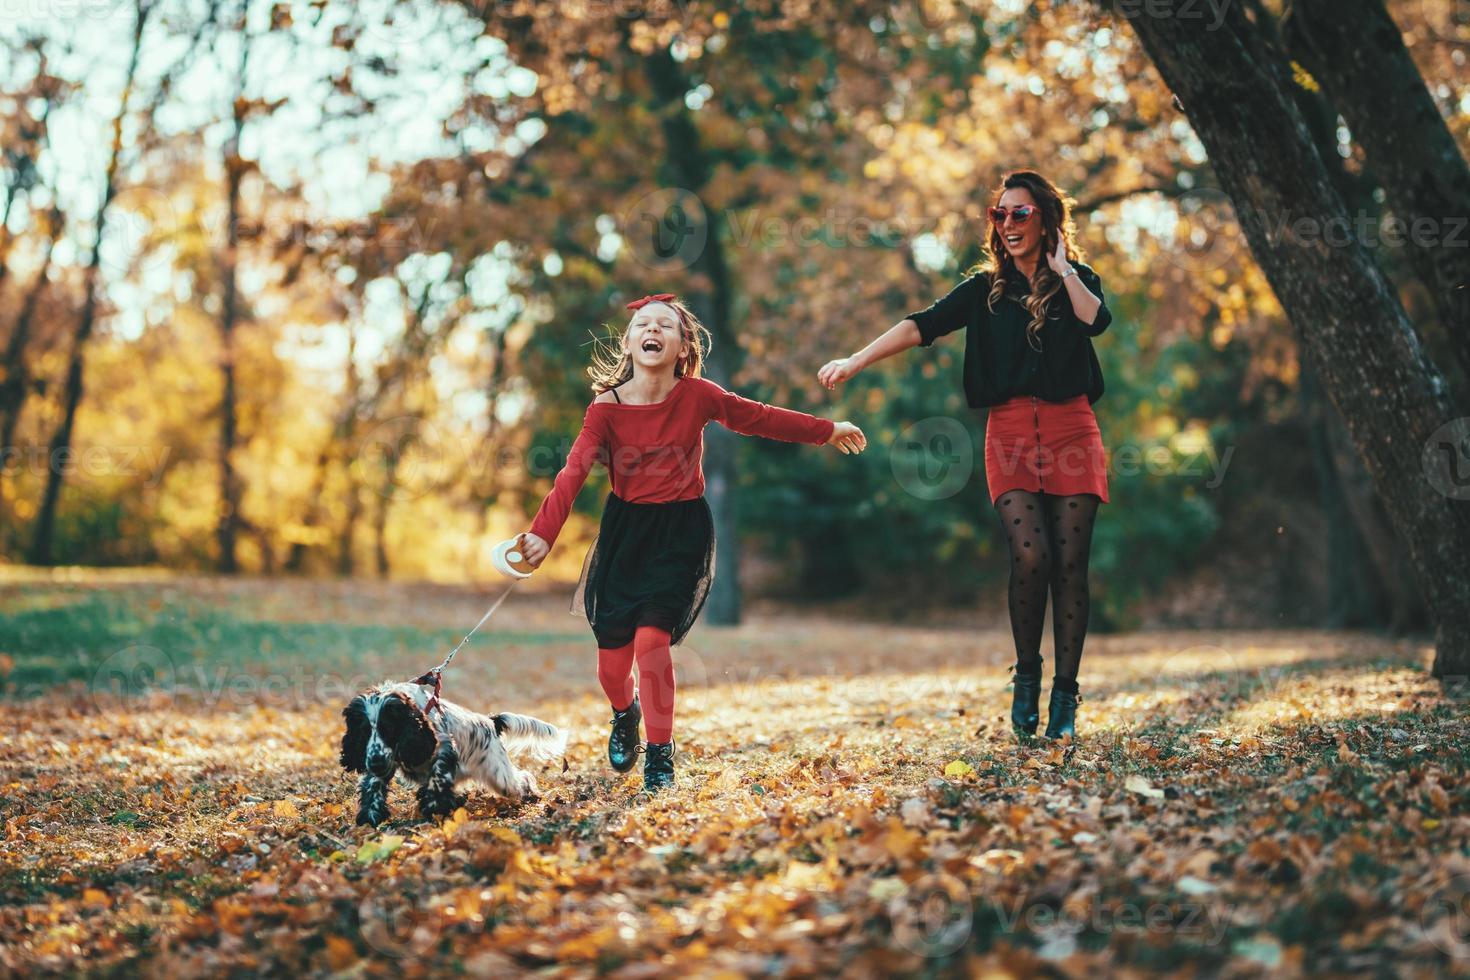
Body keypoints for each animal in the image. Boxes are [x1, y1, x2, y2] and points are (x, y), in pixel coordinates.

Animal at [341, 681, 564, 828]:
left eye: (388, 729)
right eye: (363, 731)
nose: (375, 763)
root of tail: (491, 722)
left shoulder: (443, 747)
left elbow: (438, 778)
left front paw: (434, 807)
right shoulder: (384, 760)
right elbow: (373, 784)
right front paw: (370, 813)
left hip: (499, 775)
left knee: (522, 778)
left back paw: (531, 794)